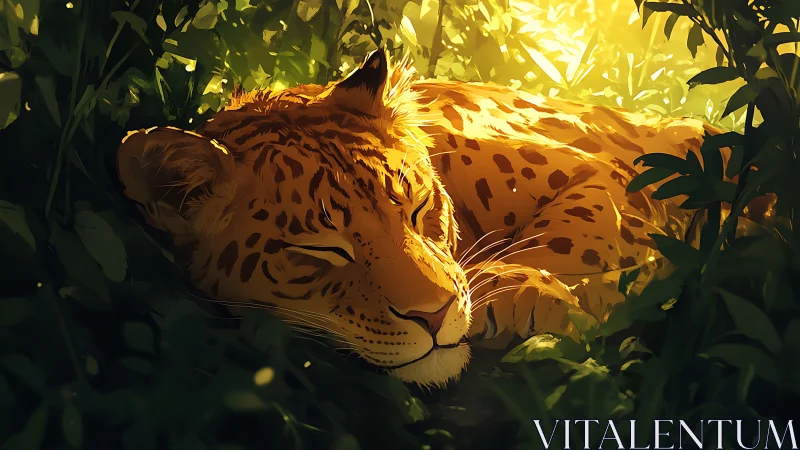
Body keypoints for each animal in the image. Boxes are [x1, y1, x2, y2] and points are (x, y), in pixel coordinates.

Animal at [116, 49, 752, 388]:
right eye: (321, 249)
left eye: (419, 208)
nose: (435, 315)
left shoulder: (605, 169)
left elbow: (579, 231)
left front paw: (517, 289)